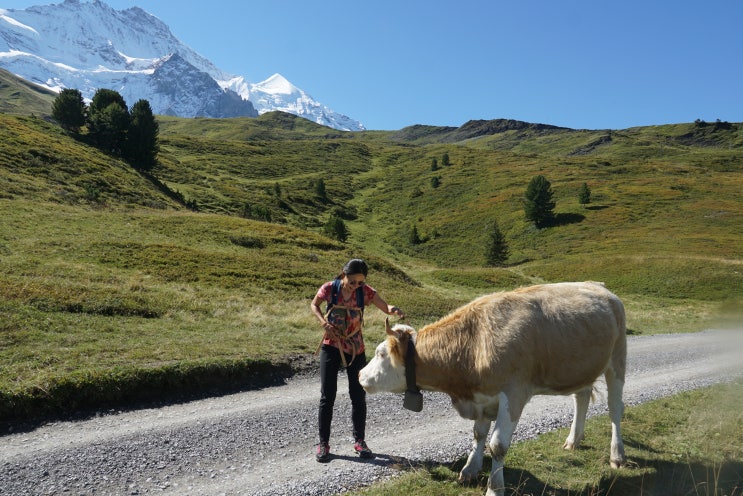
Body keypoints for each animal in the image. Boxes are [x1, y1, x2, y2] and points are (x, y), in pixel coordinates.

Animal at [360, 282, 628, 496]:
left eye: (380, 353)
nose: (361, 375)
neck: (473, 344)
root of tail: (600, 286)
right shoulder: (481, 398)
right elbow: (478, 434)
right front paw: (470, 469)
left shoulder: (514, 395)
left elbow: (498, 445)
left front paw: (494, 488)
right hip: (581, 368)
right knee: (581, 397)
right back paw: (573, 440)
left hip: (617, 359)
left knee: (615, 408)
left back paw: (617, 455)